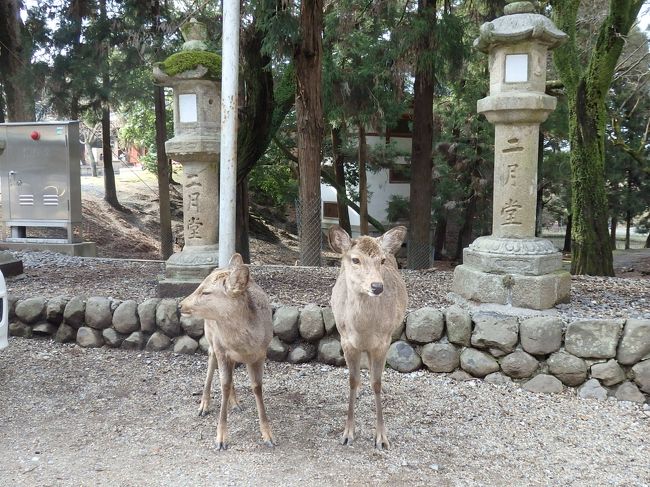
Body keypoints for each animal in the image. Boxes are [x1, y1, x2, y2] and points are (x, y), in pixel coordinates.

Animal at [178, 254, 274, 452]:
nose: (180, 305)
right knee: (211, 361)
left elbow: (257, 387)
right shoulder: (222, 349)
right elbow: (224, 385)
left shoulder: (261, 354)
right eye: (199, 286)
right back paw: (204, 405)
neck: (244, 344)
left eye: (206, 292)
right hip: (211, 338)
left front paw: (268, 435)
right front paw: (221, 438)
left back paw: (235, 403)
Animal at [326, 227, 408, 452]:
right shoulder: (346, 341)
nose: (377, 286)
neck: (362, 330)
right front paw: (347, 434)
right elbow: (352, 380)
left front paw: (381, 437)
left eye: (382, 260)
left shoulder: (383, 342)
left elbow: (377, 383)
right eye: (355, 259)